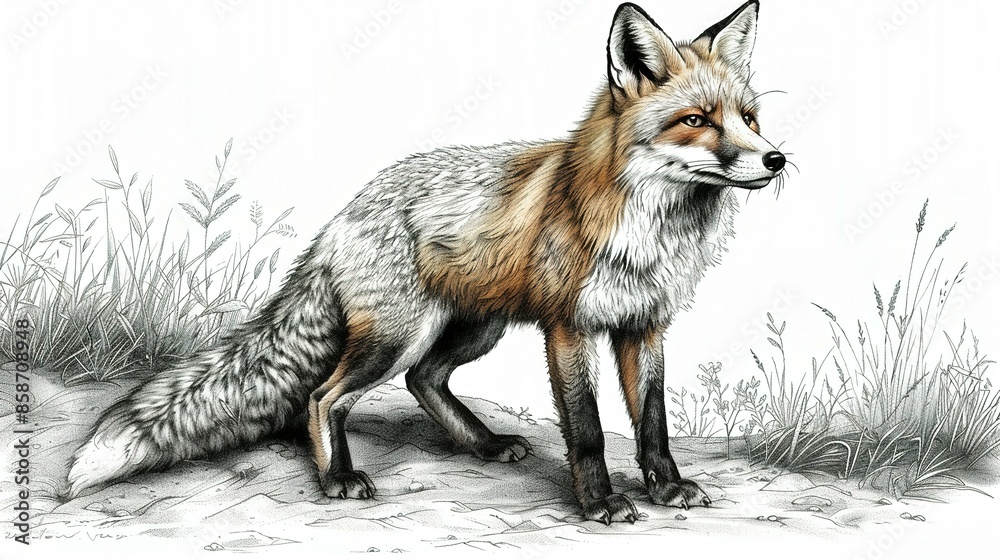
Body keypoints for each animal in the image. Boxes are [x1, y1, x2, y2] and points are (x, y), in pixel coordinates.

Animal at [68, 1, 786, 524]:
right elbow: (586, 429)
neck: (649, 233)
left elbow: (652, 424)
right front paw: (600, 502)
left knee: (425, 381)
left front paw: (666, 489)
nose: (776, 158)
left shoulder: (645, 325)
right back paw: (337, 477)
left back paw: (486, 444)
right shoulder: (569, 328)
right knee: (324, 396)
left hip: (473, 327)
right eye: (697, 120)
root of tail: (343, 215)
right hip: (399, 336)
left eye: (749, 119)